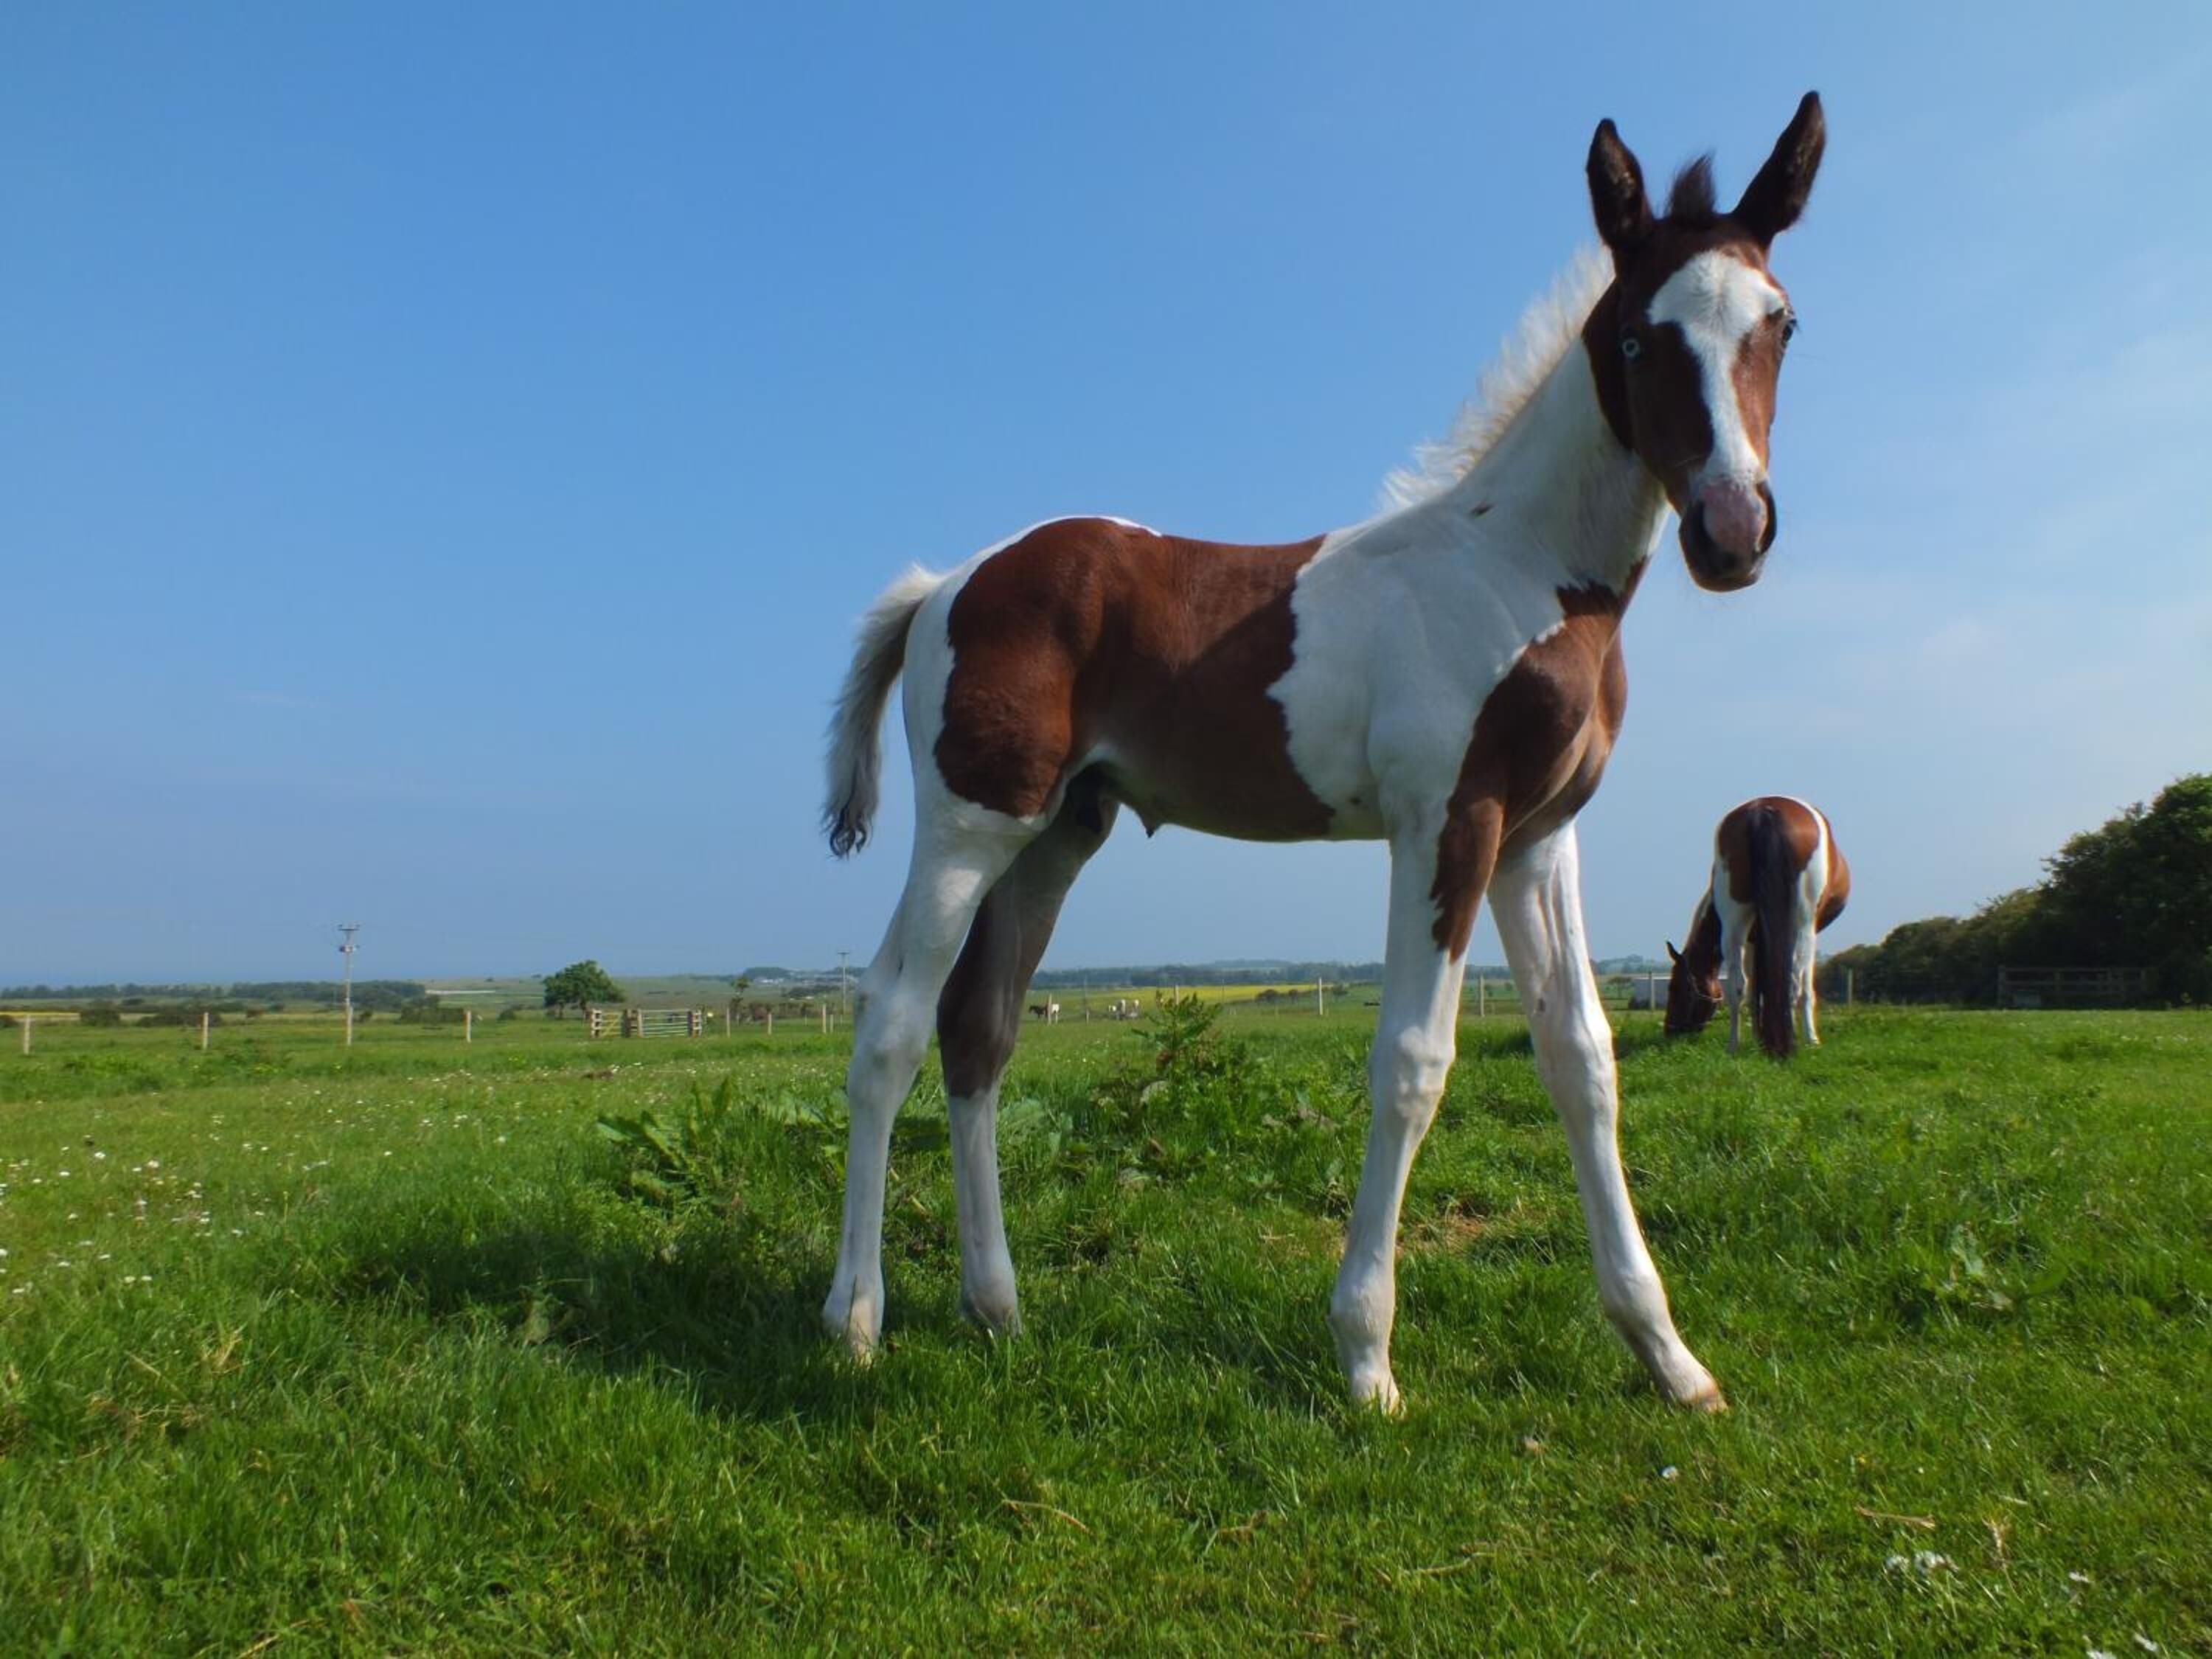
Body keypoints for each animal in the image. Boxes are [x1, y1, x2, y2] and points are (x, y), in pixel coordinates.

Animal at [821, 95, 1826, 1413]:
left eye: (1780, 323)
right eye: (1640, 338)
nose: (1732, 530)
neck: (1521, 568)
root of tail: (945, 582)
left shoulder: (1540, 840)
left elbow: (1583, 1059)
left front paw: (1669, 1355)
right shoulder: (1445, 823)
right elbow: (1411, 1061)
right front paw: (1366, 1356)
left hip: (1058, 835)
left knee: (978, 1028)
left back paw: (997, 1308)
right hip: (969, 823)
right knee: (890, 1020)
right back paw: (854, 1320)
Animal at [1665, 796, 1850, 1058]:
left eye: (1674, 988)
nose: (1670, 1030)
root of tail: (1765, 810)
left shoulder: (1754, 939)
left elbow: (1754, 989)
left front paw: (1760, 1036)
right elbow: (1803, 988)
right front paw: (1811, 1039)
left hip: (1734, 923)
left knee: (1736, 987)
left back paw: (1734, 1045)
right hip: (1802, 925)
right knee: (1792, 984)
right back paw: (1786, 1042)